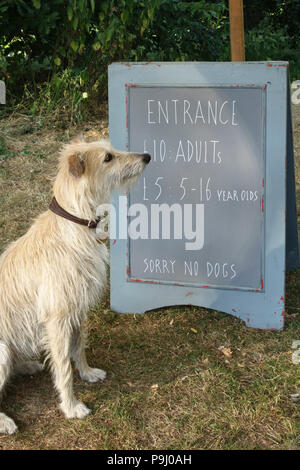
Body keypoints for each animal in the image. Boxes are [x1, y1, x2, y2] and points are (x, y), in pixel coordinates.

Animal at [0, 136, 150, 434]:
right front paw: (71, 407)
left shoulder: (78, 311)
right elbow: (63, 367)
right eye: (108, 158)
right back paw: (4, 420)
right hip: (0, 350)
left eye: (113, 151)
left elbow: (79, 347)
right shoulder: (57, 319)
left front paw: (88, 373)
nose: (147, 157)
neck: (75, 224)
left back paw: (27, 366)